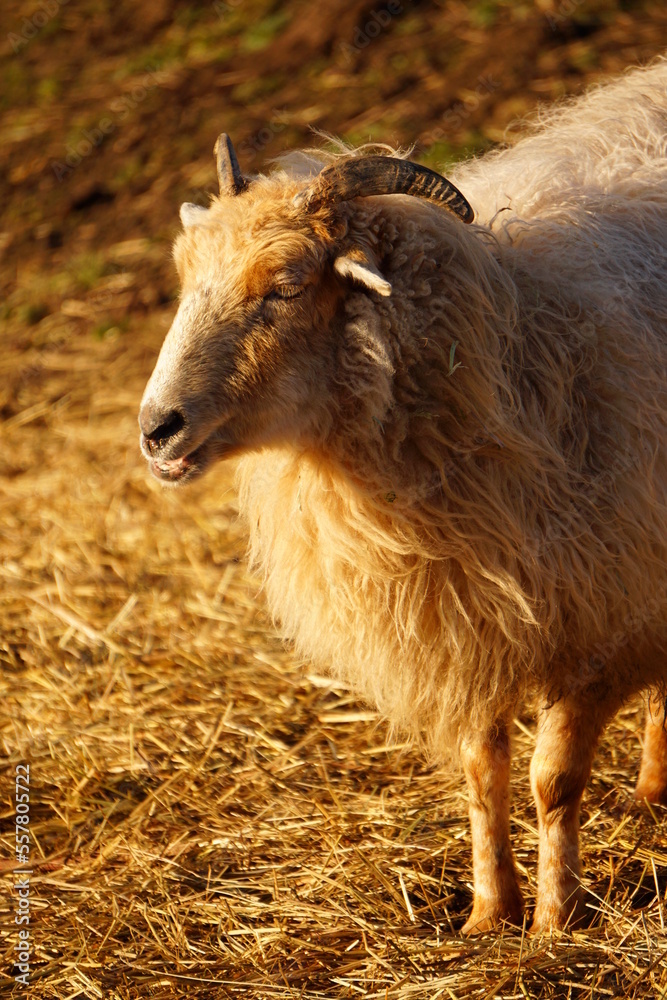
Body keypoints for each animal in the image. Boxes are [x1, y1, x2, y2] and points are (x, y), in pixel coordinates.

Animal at [139, 60, 667, 934]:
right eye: (185, 278)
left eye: (285, 287)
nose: (156, 429)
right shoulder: (463, 616)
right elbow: (481, 773)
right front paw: (489, 911)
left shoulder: (594, 621)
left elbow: (551, 782)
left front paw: (555, 921)